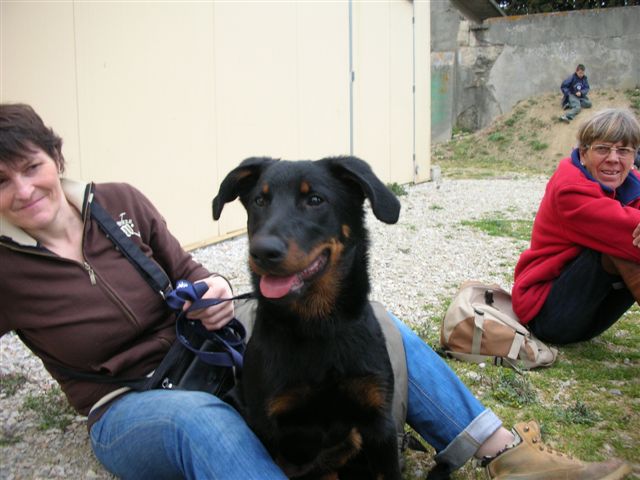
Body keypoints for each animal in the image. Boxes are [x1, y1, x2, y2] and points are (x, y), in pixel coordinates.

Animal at [212, 156, 402, 479]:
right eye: (259, 201)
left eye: (315, 200)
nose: (262, 252)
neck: (317, 325)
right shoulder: (268, 427)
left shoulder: (379, 422)